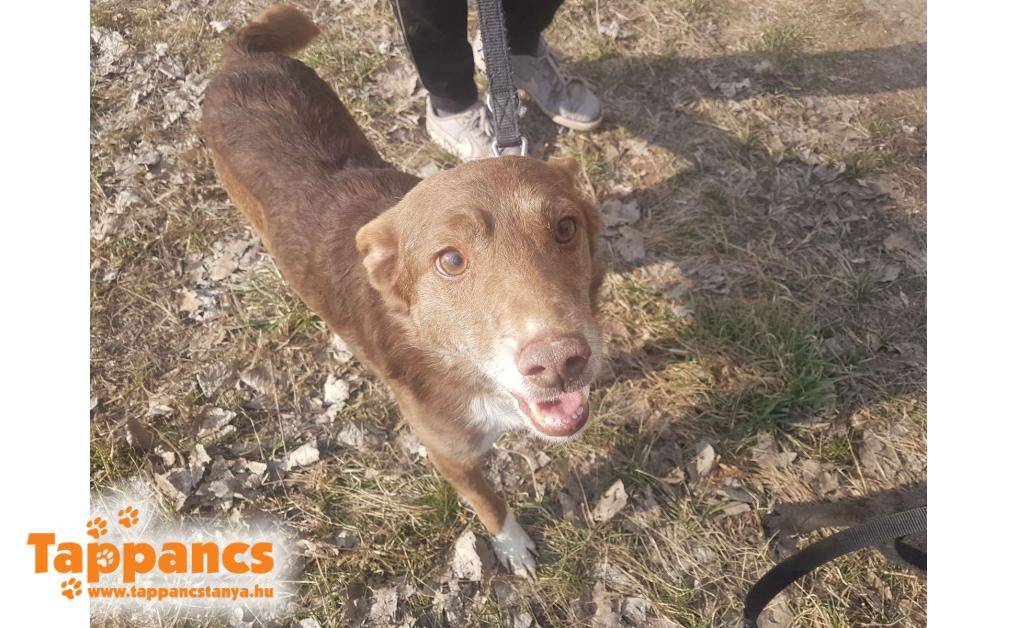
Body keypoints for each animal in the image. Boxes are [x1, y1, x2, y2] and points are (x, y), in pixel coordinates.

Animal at [201, 4, 605, 577]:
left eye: (566, 227)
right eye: (451, 261)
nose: (559, 363)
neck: (460, 367)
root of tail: (242, 58)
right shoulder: (451, 457)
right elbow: (490, 503)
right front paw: (514, 548)